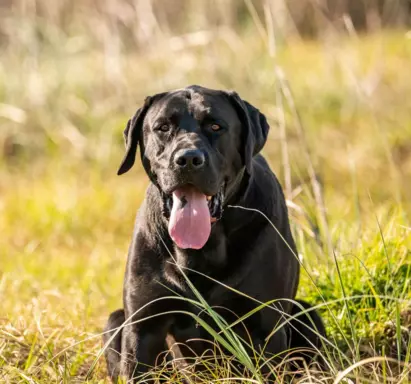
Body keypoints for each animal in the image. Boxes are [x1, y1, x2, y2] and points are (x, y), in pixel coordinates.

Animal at [102, 85, 326, 380]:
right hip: (115, 322)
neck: (202, 250)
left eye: (216, 126)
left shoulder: (265, 327)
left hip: (307, 315)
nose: (187, 159)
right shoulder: (142, 327)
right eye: (163, 127)